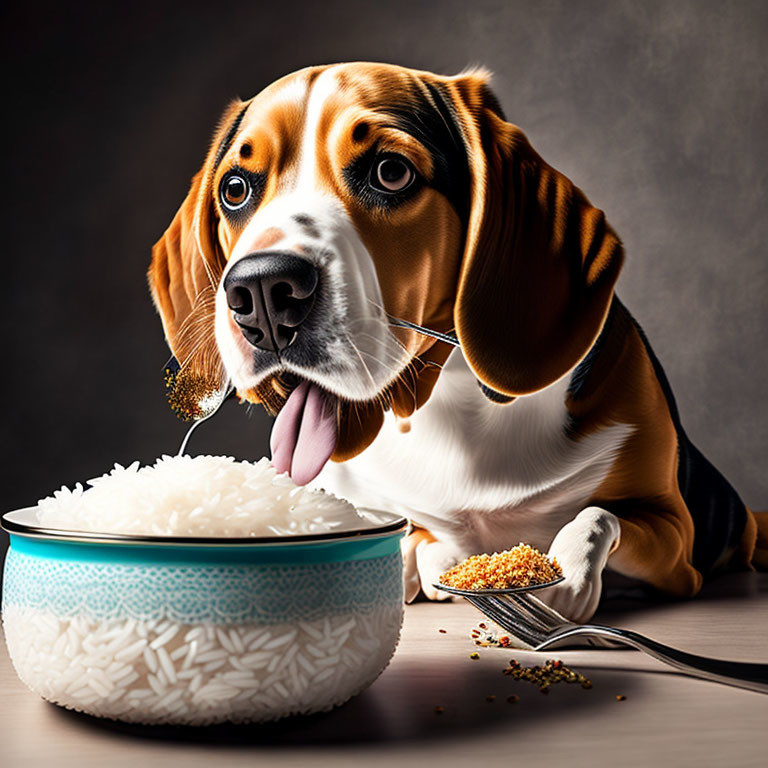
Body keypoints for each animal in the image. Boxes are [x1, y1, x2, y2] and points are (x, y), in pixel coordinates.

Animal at [147, 63, 764, 620]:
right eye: (234, 189)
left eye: (390, 172)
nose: (262, 291)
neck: (459, 406)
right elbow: (414, 537)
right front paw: (430, 566)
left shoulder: (674, 538)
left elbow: (594, 516)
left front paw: (560, 582)